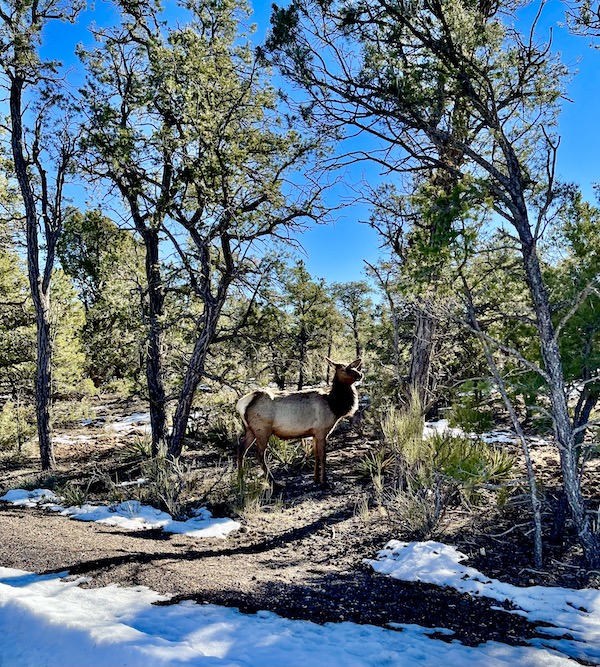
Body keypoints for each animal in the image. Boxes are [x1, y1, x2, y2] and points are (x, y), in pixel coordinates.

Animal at [235, 358, 363, 487]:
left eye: (354, 366)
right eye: (345, 369)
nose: (360, 374)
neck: (334, 406)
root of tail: (240, 404)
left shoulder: (314, 433)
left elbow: (316, 455)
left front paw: (316, 479)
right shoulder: (321, 431)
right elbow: (323, 456)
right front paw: (325, 481)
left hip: (250, 430)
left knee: (241, 450)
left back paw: (241, 480)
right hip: (262, 430)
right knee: (260, 455)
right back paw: (275, 483)